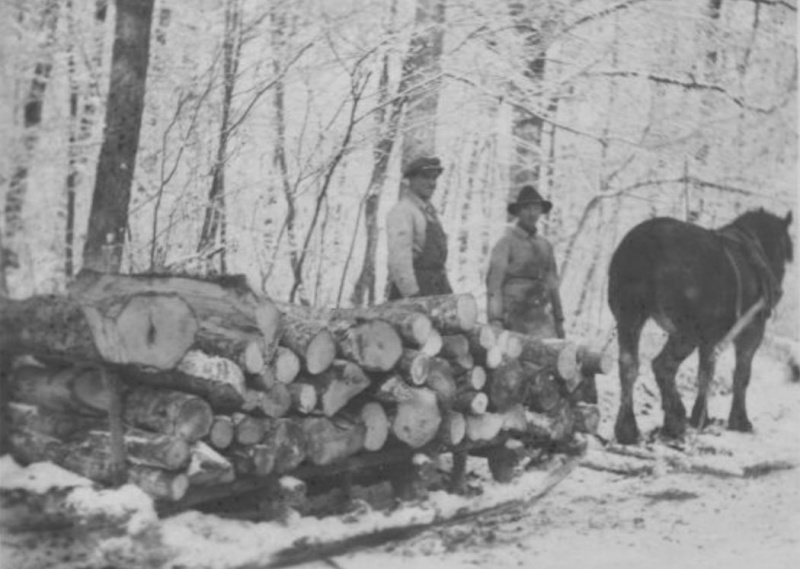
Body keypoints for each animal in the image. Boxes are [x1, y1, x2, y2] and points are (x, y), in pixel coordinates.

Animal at [608, 209, 792, 444]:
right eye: (784, 252)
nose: (778, 291)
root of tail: (646, 245)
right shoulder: (750, 333)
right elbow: (740, 376)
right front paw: (738, 420)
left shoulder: (711, 338)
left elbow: (706, 372)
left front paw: (700, 416)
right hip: (687, 332)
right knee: (663, 365)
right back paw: (675, 419)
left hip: (629, 316)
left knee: (629, 365)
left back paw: (628, 429)